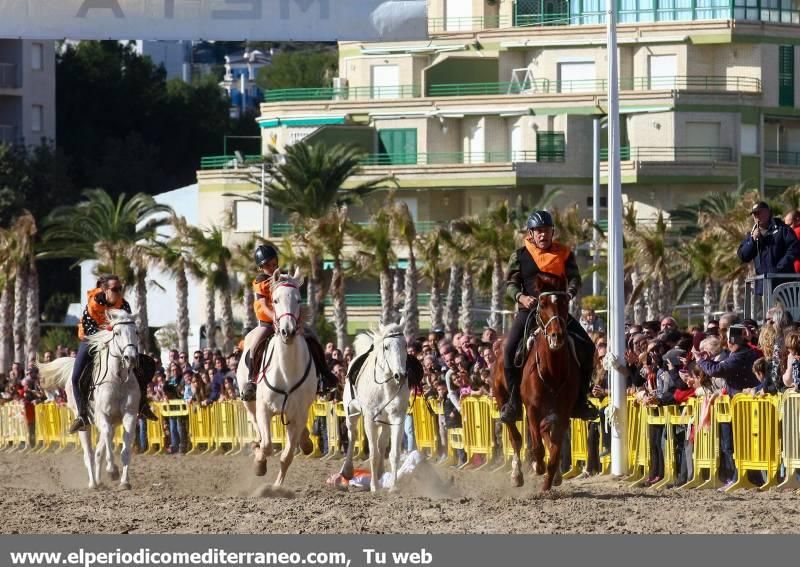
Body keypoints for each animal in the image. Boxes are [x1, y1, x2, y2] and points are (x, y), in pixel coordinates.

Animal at [38, 308, 140, 490]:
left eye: (136, 332)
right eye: (117, 333)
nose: (131, 358)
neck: (118, 379)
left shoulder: (129, 415)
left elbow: (126, 448)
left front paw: (124, 482)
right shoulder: (102, 416)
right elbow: (106, 439)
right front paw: (112, 470)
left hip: (112, 421)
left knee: (99, 451)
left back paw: (99, 480)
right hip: (84, 424)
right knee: (89, 453)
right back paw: (93, 483)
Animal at [239, 270, 320, 488]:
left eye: (298, 299)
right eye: (275, 300)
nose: (288, 331)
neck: (286, 370)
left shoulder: (299, 414)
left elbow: (287, 456)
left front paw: (276, 487)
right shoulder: (264, 409)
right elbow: (267, 446)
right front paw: (259, 464)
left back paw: (306, 441)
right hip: (249, 401)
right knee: (255, 424)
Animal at [340, 324, 410, 492]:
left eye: (405, 345)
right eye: (386, 346)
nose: (400, 375)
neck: (385, 386)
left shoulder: (397, 417)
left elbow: (394, 453)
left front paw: (393, 486)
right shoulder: (370, 420)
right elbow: (373, 454)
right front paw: (374, 486)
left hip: (385, 422)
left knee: (382, 443)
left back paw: (380, 473)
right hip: (351, 414)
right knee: (352, 435)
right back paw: (348, 470)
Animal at [490, 272, 580, 490]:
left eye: (565, 302)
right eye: (542, 303)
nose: (557, 336)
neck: (552, 371)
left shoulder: (563, 412)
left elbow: (555, 449)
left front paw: (549, 480)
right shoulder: (532, 408)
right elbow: (537, 446)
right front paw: (537, 466)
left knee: (545, 432)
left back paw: (555, 476)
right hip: (502, 398)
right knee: (515, 436)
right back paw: (517, 474)